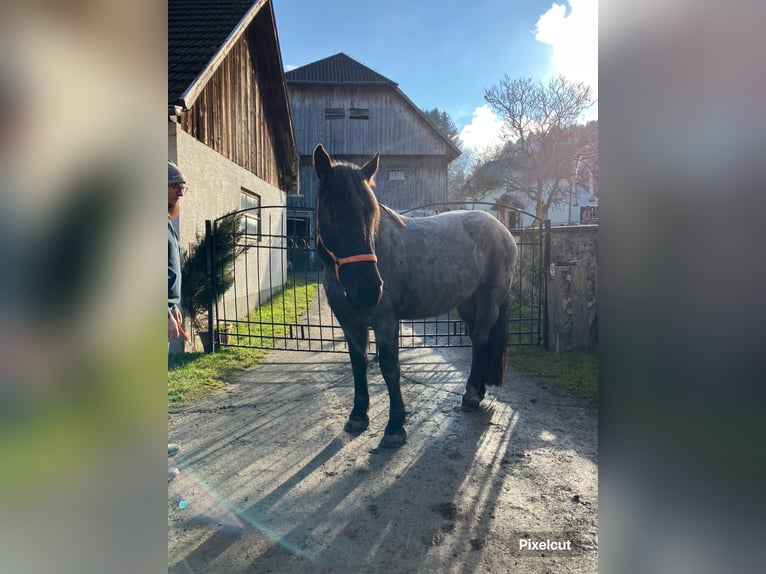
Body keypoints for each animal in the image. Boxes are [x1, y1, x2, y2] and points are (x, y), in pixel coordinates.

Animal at [314, 144, 520, 450]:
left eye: (371, 215)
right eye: (334, 214)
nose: (370, 290)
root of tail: (502, 228)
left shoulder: (386, 322)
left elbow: (390, 368)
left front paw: (395, 427)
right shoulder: (350, 324)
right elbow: (358, 364)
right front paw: (358, 415)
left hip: (489, 301)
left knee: (482, 339)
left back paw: (472, 394)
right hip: (467, 304)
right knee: (476, 341)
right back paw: (477, 392)